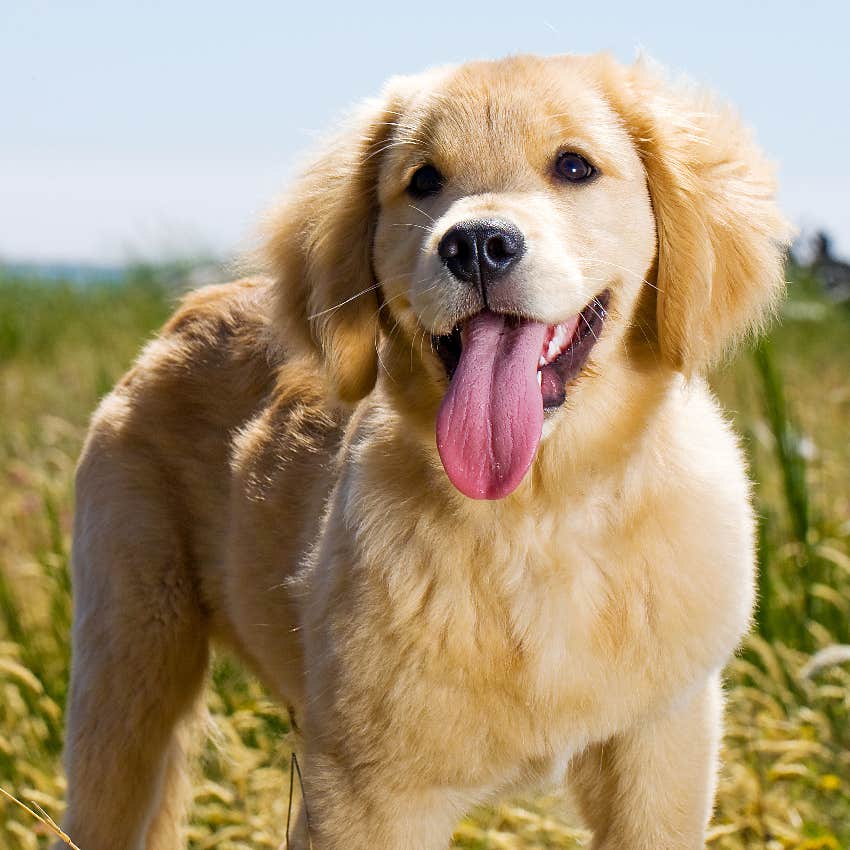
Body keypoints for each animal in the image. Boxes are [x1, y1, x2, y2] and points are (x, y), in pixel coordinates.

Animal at [59, 53, 788, 848]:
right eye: (424, 180)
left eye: (574, 166)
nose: (476, 246)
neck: (537, 516)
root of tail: (187, 314)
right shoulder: (368, 792)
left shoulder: (661, 748)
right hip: (129, 671)